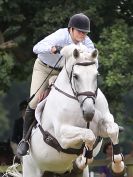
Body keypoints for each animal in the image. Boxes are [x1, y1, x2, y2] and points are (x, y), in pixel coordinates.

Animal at [22, 44, 124, 177]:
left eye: (96, 75)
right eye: (75, 76)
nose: (89, 113)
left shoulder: (102, 126)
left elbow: (113, 130)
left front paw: (118, 165)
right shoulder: (62, 134)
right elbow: (88, 135)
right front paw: (84, 158)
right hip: (31, 169)